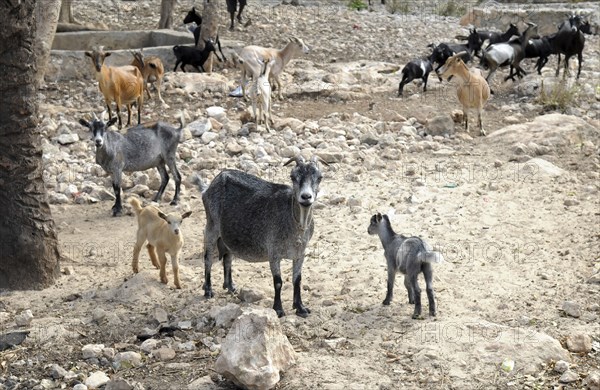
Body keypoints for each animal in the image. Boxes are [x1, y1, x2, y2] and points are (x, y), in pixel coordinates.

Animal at [193, 155, 324, 316]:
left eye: (319, 177)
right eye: (293, 177)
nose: (306, 197)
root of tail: (209, 186)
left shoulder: (300, 253)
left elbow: (297, 280)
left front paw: (300, 307)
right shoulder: (273, 252)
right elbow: (278, 282)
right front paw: (278, 309)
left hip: (228, 235)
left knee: (227, 258)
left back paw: (230, 286)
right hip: (211, 226)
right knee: (208, 258)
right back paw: (208, 290)